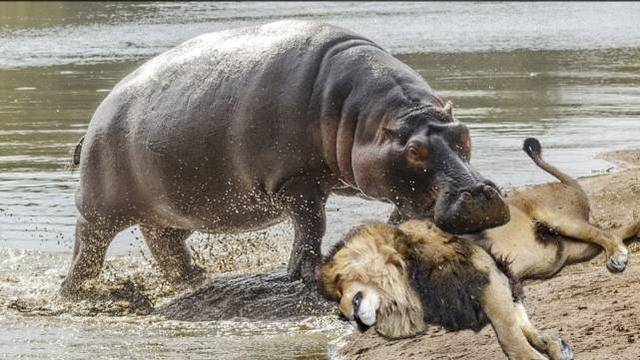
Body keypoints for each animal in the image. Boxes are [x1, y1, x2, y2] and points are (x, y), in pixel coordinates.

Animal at [61, 19, 510, 296]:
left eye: (463, 133)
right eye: (416, 150)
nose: (480, 193)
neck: (363, 117)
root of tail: (95, 118)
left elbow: (404, 210)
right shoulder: (295, 180)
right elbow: (312, 223)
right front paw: (306, 274)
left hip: (170, 209)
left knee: (164, 243)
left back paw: (196, 278)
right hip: (101, 207)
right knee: (89, 245)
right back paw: (77, 292)